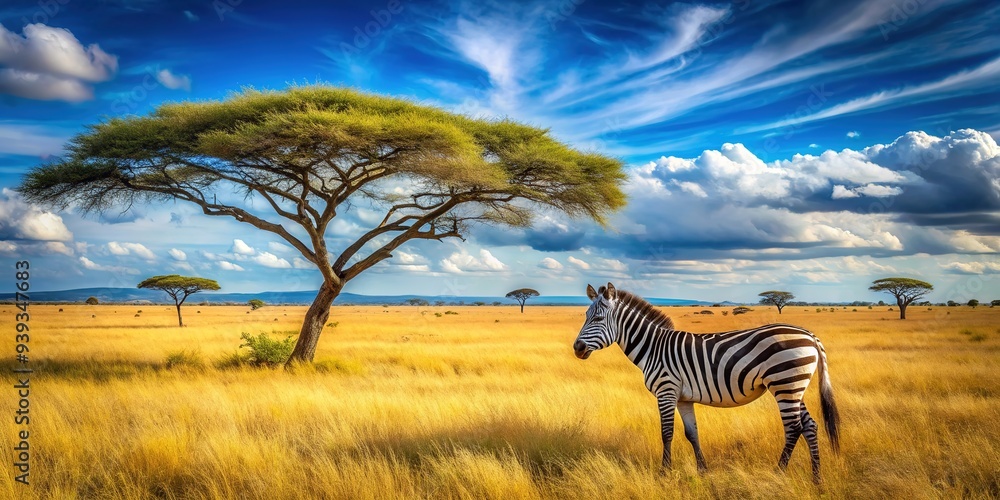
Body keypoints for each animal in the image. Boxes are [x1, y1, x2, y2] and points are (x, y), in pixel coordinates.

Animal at [573, 282, 840, 482]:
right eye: (585, 316)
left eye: (598, 318)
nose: (577, 348)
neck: (653, 348)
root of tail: (810, 335)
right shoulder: (683, 398)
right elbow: (692, 433)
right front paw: (703, 470)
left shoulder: (666, 391)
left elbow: (666, 433)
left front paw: (664, 473)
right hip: (793, 386)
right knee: (810, 425)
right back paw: (816, 478)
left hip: (785, 383)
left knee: (794, 428)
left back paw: (779, 472)